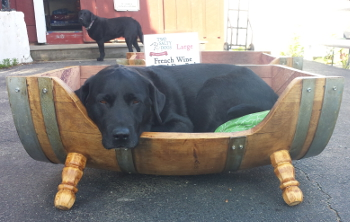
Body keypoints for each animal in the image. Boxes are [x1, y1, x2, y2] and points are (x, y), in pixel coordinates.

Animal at [75, 63, 278, 149]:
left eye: (136, 101)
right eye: (102, 101)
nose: (121, 136)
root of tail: (273, 94)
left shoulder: (182, 123)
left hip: (211, 90)